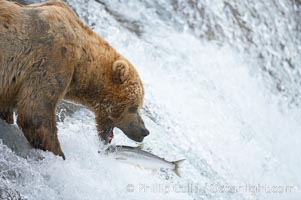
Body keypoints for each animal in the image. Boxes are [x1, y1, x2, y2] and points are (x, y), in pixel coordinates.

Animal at [0, 0, 149, 159]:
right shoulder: (52, 59)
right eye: (133, 107)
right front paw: (60, 155)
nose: (144, 131)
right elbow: (35, 112)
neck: (81, 60)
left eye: (139, 105)